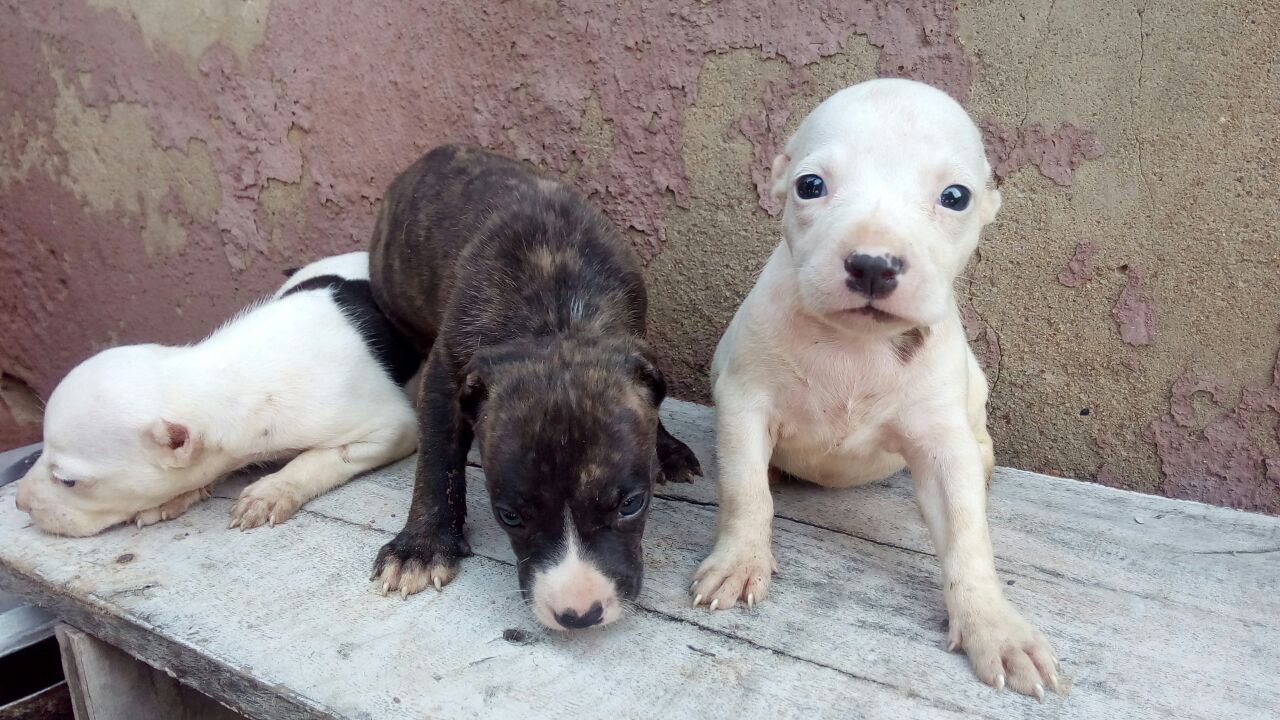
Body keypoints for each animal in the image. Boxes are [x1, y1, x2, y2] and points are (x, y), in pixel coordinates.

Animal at [12, 249, 419, 535]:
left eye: (69, 481)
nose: (18, 502)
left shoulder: (391, 429)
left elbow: (319, 459)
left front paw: (274, 489)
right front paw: (181, 494)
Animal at [368, 144, 701, 627]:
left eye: (632, 504)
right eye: (509, 516)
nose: (579, 614)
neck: (556, 317)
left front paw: (668, 447)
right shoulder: (446, 374)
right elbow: (436, 461)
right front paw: (421, 547)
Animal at [691, 78, 1059, 696]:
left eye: (955, 196)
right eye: (810, 186)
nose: (871, 264)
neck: (853, 346)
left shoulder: (940, 440)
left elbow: (967, 534)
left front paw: (995, 627)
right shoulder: (744, 404)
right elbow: (746, 493)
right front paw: (740, 561)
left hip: (975, 387)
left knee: (979, 435)